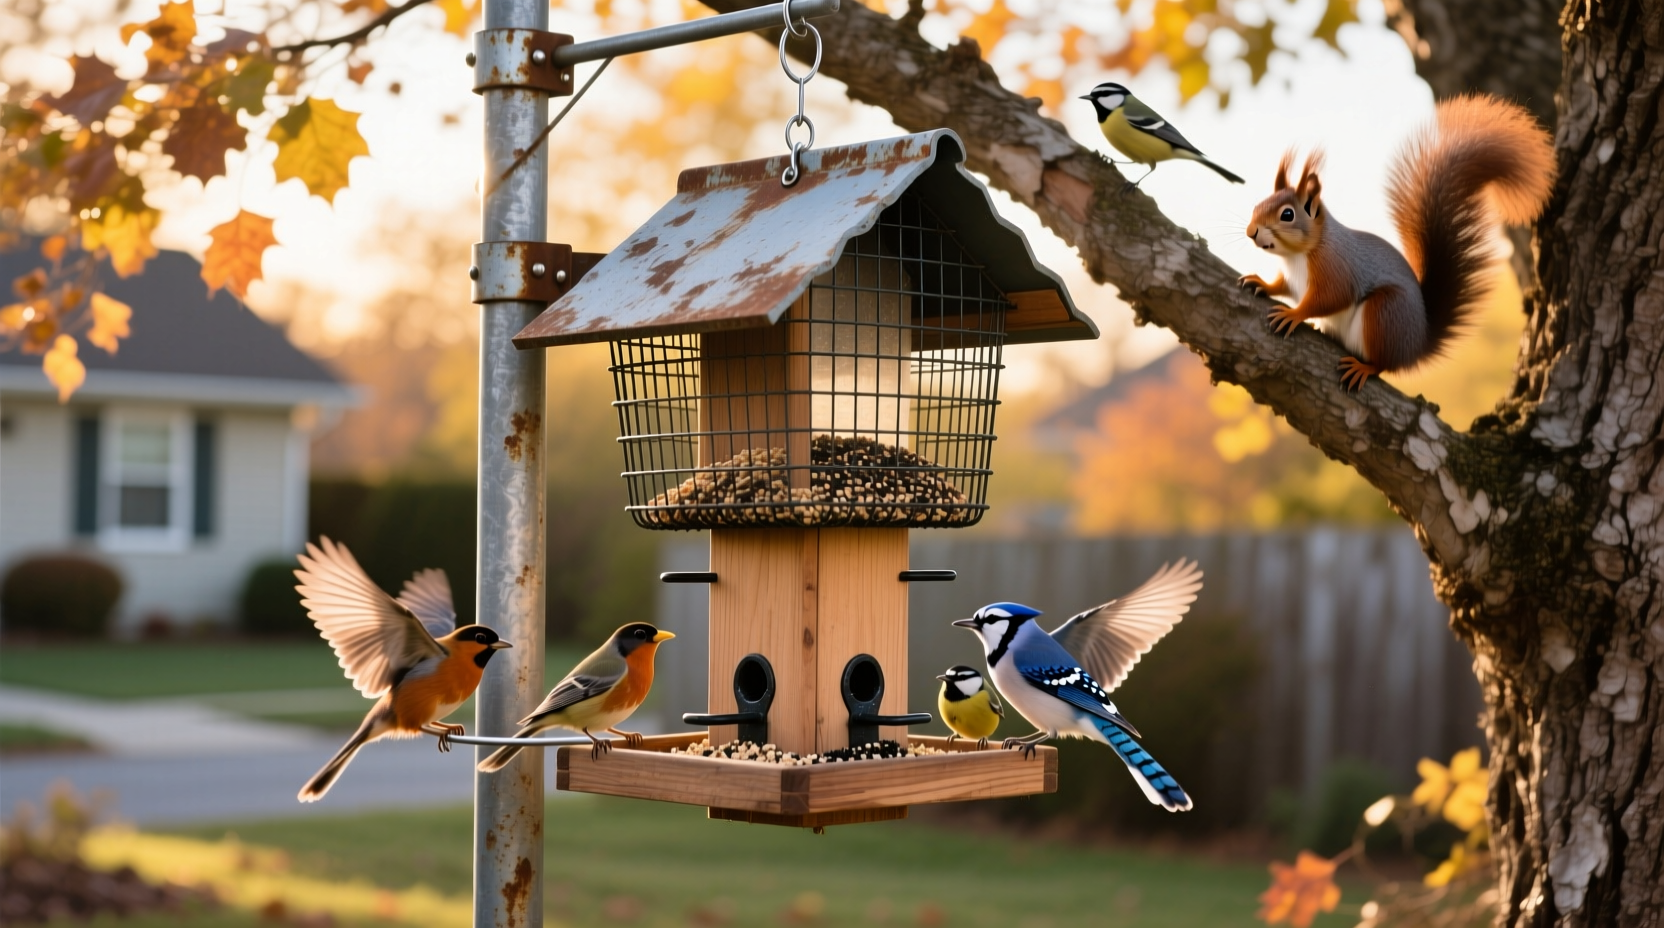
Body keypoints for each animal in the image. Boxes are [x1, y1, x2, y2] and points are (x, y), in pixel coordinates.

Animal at [1237, 94, 1556, 391]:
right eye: (1258, 204)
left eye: (1287, 215)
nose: (1251, 231)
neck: (1297, 256)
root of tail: (1415, 346)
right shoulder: (1293, 279)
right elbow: (1284, 286)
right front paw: (1263, 283)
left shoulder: (1336, 267)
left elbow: (1332, 296)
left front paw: (1295, 313)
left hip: (1384, 314)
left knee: (1383, 364)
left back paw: (1364, 368)